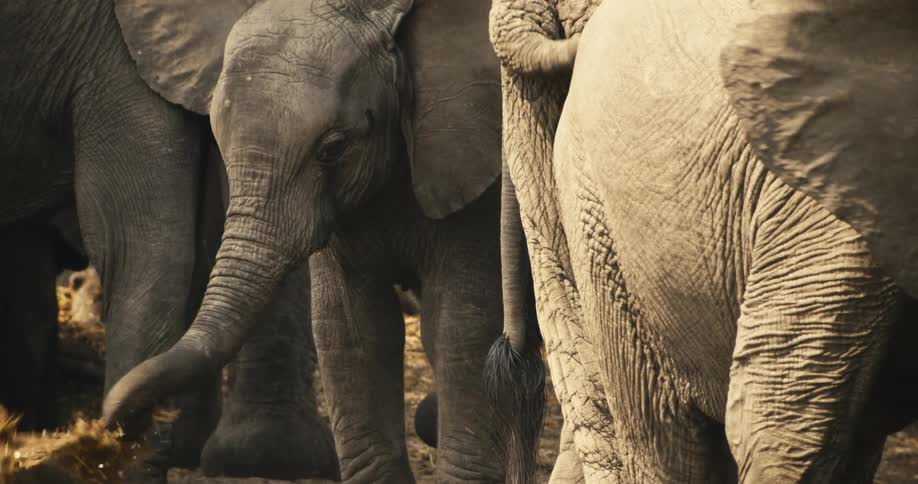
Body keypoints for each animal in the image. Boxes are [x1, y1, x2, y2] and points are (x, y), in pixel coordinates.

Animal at [98, 0, 509, 482]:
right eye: (216, 136)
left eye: (333, 148)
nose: (115, 424)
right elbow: (351, 329)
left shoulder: (483, 160)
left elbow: (464, 330)